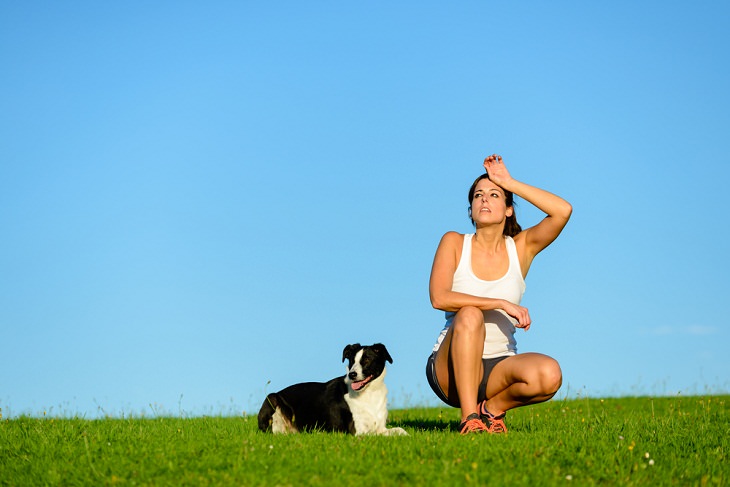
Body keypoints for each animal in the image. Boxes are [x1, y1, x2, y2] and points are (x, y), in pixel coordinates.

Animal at [256, 346, 404, 436]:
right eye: (351, 361)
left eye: (367, 359)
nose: (352, 374)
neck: (369, 393)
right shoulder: (357, 430)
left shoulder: (381, 427)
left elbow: (401, 430)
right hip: (272, 397)